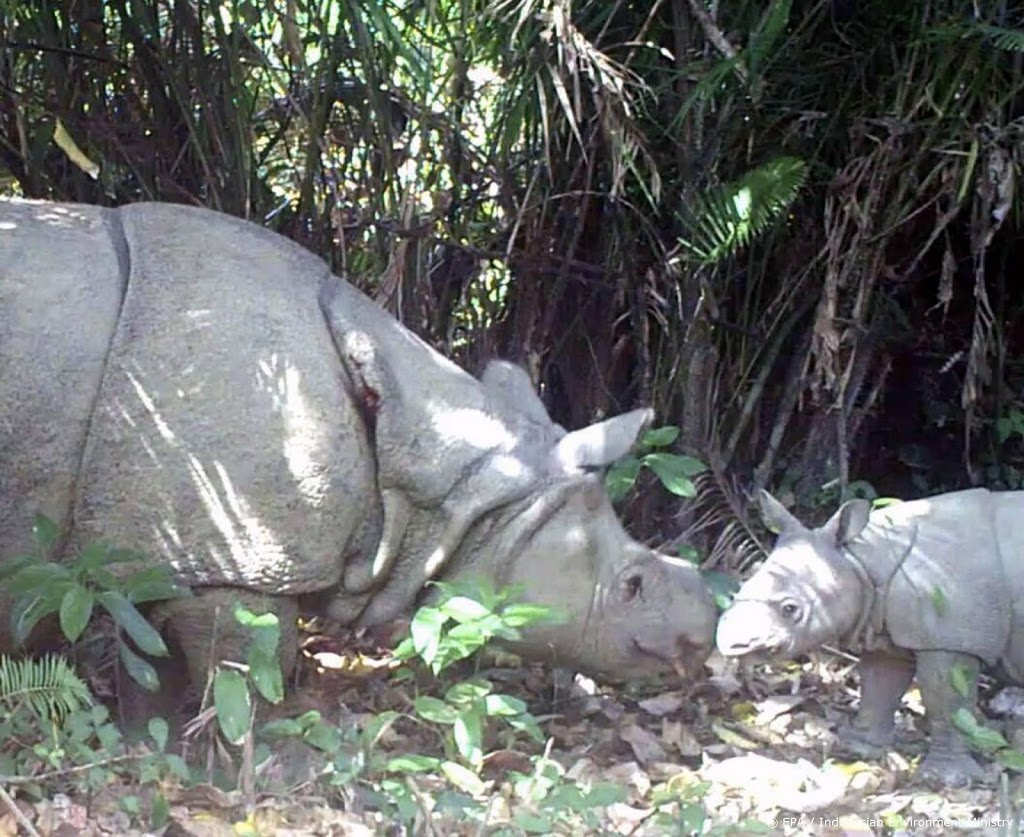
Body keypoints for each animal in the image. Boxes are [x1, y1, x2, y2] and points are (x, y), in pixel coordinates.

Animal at [0, 197, 720, 692]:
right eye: (632, 586)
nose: (704, 637)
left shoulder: (161, 549)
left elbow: (148, 665)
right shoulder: (234, 554)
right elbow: (248, 672)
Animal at [716, 485, 1019, 786]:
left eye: (791, 609)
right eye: (740, 589)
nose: (733, 644)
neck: (860, 560)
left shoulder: (950, 640)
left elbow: (946, 702)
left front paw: (945, 779)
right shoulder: (888, 630)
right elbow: (878, 686)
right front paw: (857, 750)